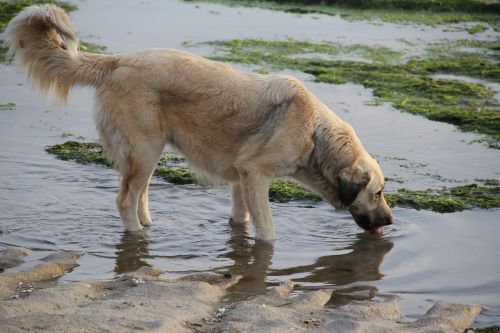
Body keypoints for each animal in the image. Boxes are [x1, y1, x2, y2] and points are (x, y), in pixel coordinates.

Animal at [5, 3, 392, 240]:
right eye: (377, 193)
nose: (391, 221)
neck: (314, 133)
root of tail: (117, 61)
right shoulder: (255, 175)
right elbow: (267, 232)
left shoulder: (241, 180)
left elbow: (240, 220)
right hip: (145, 150)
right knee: (125, 200)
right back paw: (137, 235)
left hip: (148, 154)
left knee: (139, 195)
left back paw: (149, 227)